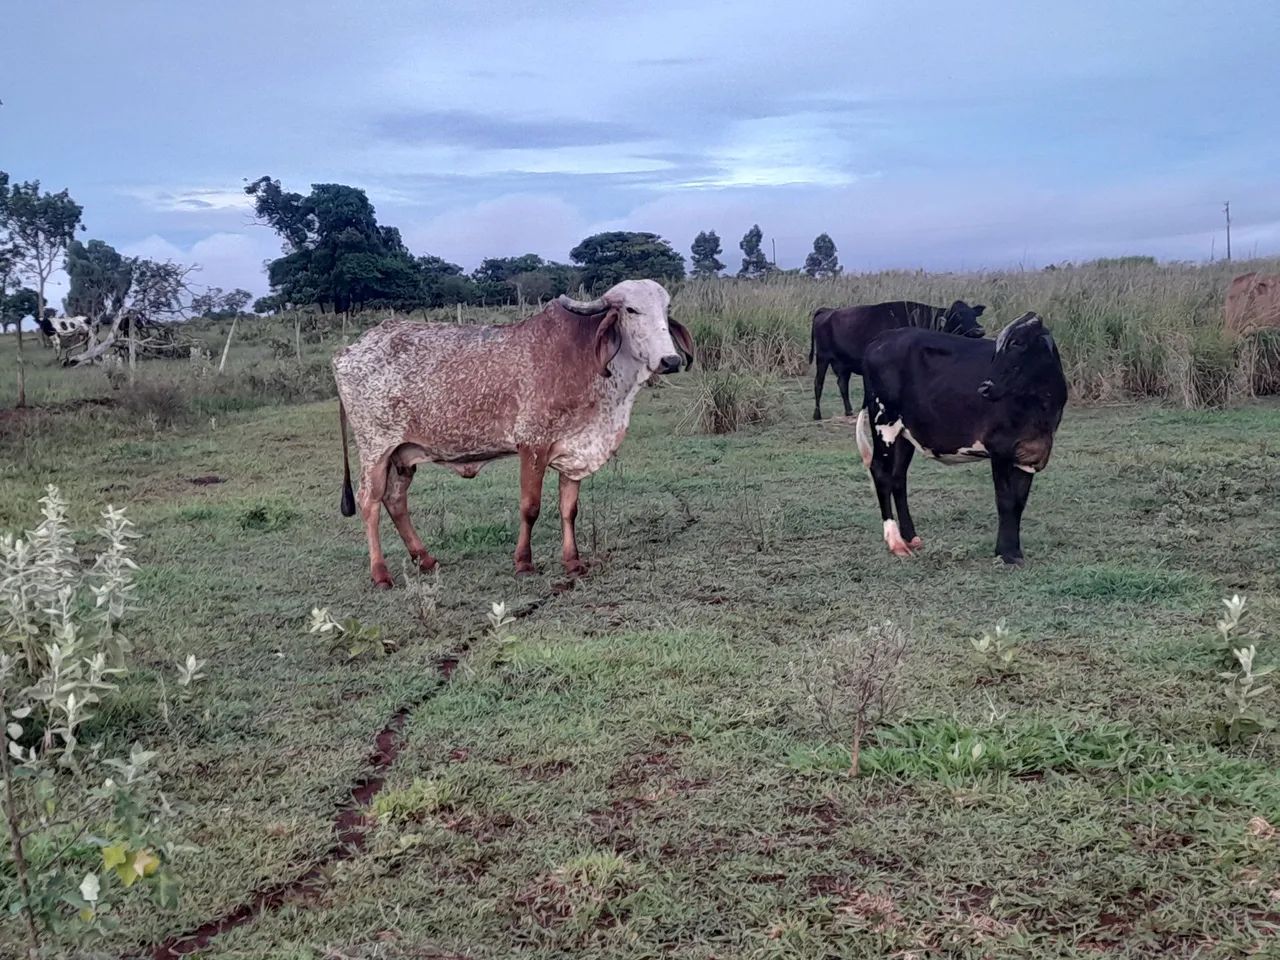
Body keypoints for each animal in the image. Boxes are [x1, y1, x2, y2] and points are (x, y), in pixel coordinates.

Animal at [332, 278, 695, 588]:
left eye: (667, 309)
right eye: (631, 310)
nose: (670, 360)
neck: (582, 357)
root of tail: (347, 353)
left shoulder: (573, 449)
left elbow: (569, 509)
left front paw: (573, 562)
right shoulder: (532, 446)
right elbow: (530, 507)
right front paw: (523, 562)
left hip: (402, 455)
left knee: (396, 500)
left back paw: (425, 559)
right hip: (375, 449)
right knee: (370, 502)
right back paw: (381, 573)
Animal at [809, 299, 986, 420]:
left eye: (973, 314)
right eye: (958, 315)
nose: (979, 331)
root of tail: (827, 311)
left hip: (843, 365)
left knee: (842, 384)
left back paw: (849, 410)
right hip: (822, 358)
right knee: (818, 384)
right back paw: (817, 414)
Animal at [855, 312, 1067, 566]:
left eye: (1018, 343)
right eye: (999, 348)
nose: (985, 387)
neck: (1040, 408)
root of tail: (883, 337)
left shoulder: (1030, 452)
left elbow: (1019, 503)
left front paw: (1014, 552)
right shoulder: (1000, 449)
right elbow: (1005, 501)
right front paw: (1005, 553)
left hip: (905, 434)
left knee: (898, 477)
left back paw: (911, 538)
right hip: (883, 422)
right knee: (881, 473)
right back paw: (896, 543)